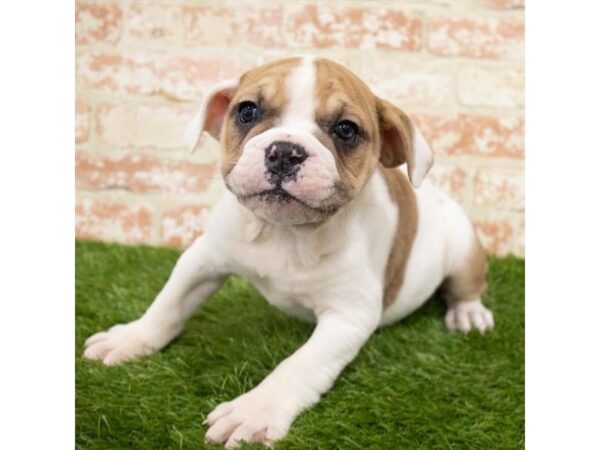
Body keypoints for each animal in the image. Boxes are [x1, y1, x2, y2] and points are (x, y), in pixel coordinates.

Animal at [85, 58, 496, 448]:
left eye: (346, 130)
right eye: (247, 111)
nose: (284, 151)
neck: (285, 233)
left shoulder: (347, 317)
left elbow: (298, 365)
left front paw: (255, 409)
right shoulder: (203, 259)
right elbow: (168, 303)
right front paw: (132, 337)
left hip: (463, 250)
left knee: (466, 287)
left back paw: (469, 313)